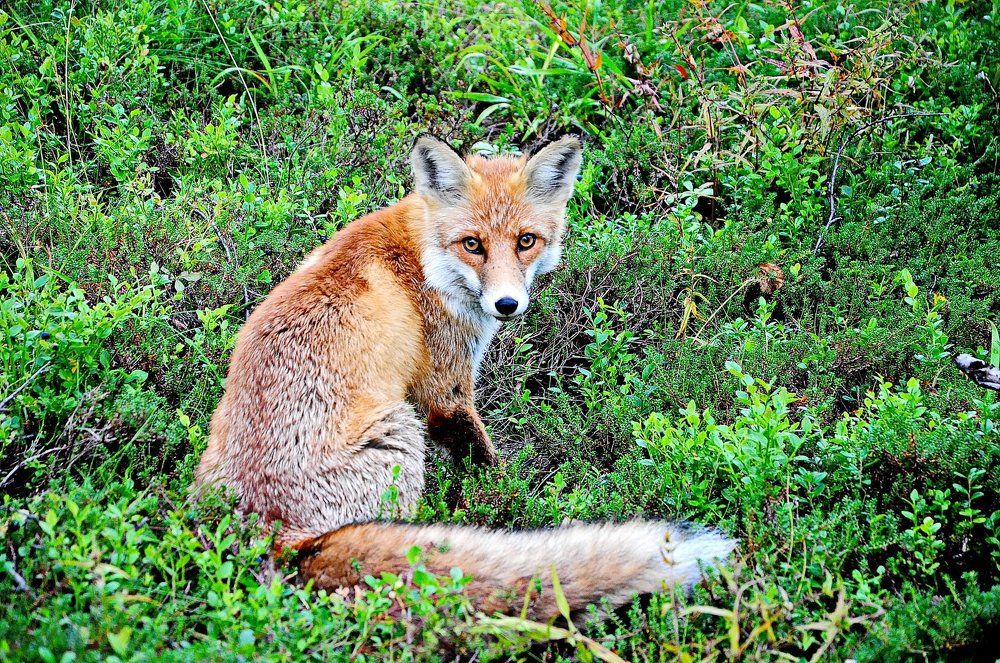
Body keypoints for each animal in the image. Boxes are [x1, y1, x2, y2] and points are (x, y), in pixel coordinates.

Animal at [192, 134, 734, 620]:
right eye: (473, 244)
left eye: (525, 241)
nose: (507, 305)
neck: (424, 257)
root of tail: (272, 533)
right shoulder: (445, 392)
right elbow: (486, 460)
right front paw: (514, 495)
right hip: (400, 433)